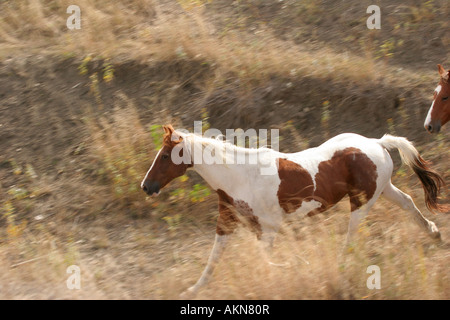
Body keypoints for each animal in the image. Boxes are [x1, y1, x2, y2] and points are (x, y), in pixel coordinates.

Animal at [142, 125, 446, 298]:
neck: (240, 177)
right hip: (383, 190)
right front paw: (192, 290)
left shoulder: (268, 229)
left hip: (362, 202)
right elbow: (213, 259)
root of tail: (378, 142)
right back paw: (434, 233)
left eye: (165, 156)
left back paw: (341, 265)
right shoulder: (227, 223)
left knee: (351, 235)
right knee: (407, 201)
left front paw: (298, 265)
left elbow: (267, 261)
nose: (146, 186)